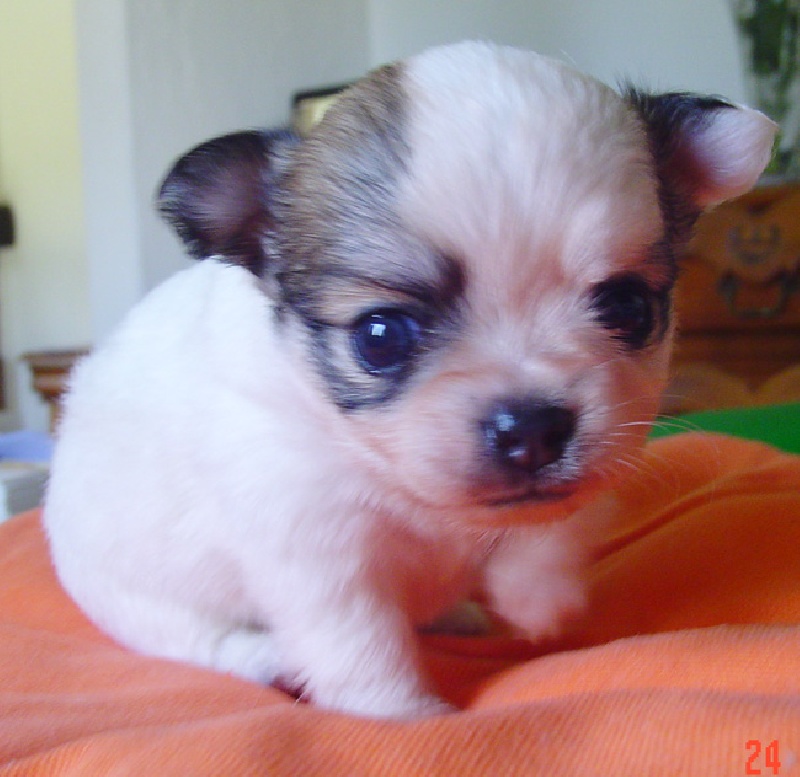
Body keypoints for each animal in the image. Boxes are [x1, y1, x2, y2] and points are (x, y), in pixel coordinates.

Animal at [43, 41, 775, 718]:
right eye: (380, 337)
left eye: (628, 308)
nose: (533, 427)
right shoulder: (315, 541)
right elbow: (359, 639)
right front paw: (400, 714)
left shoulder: (602, 449)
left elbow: (554, 521)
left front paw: (536, 594)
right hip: (138, 598)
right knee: (196, 638)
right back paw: (263, 656)